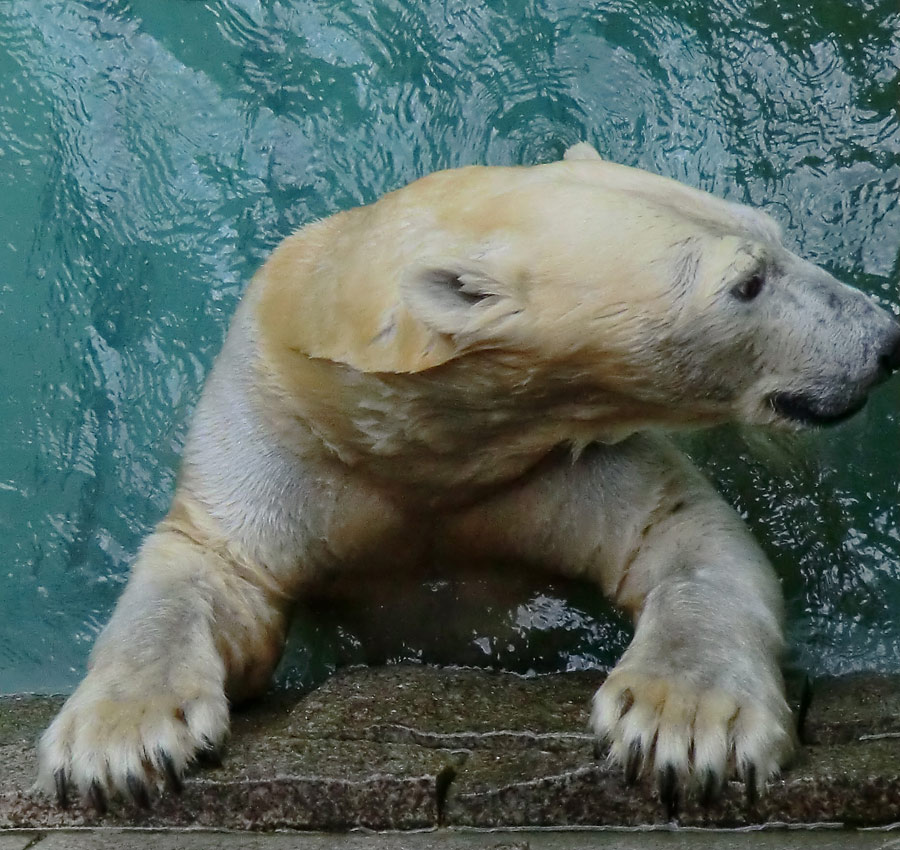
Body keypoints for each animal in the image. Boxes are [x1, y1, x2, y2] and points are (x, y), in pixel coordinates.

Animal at [37, 142, 900, 812]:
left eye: (776, 236)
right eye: (747, 283)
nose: (883, 338)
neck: (424, 446)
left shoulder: (553, 464)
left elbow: (684, 535)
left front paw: (681, 725)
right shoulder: (282, 438)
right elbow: (211, 567)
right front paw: (121, 743)